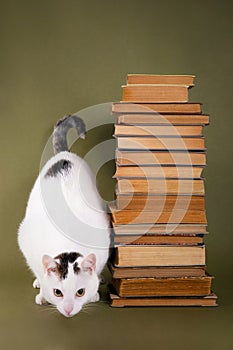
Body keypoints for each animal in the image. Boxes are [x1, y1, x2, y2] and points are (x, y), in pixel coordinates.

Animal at [17, 115, 110, 318]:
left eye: (80, 292)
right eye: (57, 292)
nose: (68, 309)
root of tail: (64, 155)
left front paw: (94, 291)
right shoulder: (27, 241)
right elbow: (40, 271)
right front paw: (43, 294)